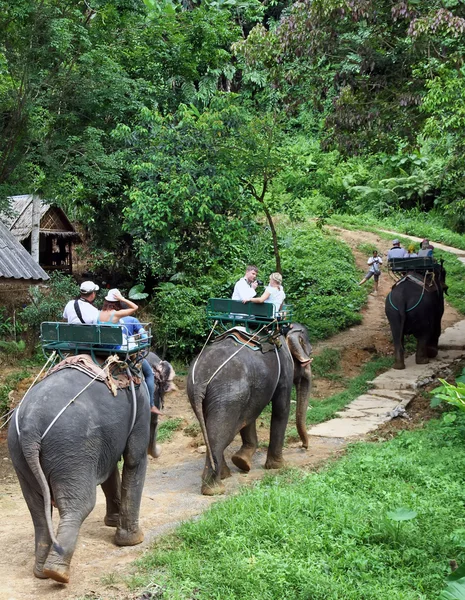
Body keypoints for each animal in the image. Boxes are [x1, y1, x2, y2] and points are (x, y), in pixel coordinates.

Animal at [7, 350, 174, 584]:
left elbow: (111, 469)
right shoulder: (140, 406)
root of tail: (30, 427)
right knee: (80, 505)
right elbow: (134, 459)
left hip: (20, 454)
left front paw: (112, 522)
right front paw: (134, 540)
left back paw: (41, 572)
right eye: (162, 389)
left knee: (37, 509)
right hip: (71, 448)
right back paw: (57, 573)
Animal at [186, 324, 312, 496]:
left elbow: (249, 418)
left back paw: (223, 476)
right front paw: (279, 466)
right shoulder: (285, 370)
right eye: (310, 353)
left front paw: (242, 461)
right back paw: (214, 489)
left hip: (205, 395)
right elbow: (281, 409)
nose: (304, 447)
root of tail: (201, 379)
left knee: (210, 429)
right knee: (220, 433)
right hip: (228, 395)